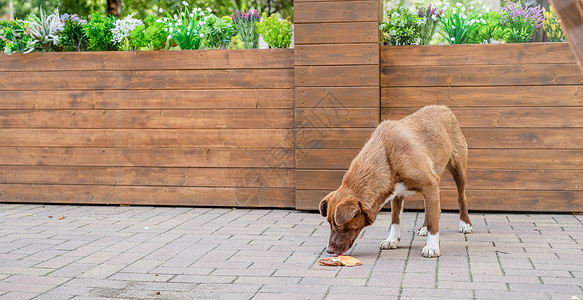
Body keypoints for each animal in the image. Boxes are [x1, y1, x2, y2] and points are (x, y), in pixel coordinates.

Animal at [320, 105, 474, 258]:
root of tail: (444, 107)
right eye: (329, 223)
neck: (386, 156)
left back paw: (465, 224)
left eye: (339, 225)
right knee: (429, 207)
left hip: (458, 168)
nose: (329, 250)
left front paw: (432, 246)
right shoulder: (397, 192)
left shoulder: (430, 184)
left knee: (461, 197)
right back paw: (424, 227)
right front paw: (392, 240)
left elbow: (433, 220)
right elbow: (395, 219)